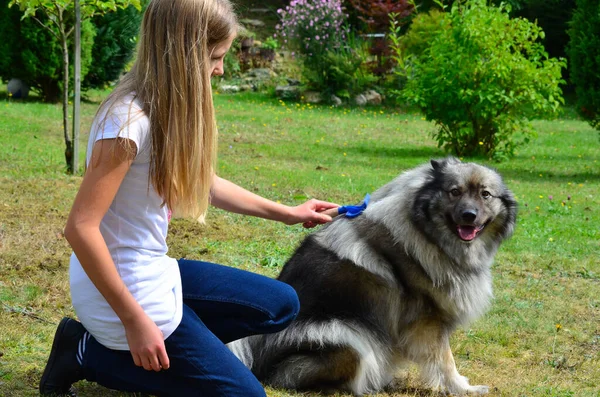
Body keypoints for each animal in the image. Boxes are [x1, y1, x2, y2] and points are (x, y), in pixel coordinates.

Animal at [229, 156, 516, 394]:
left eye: (485, 195)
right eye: (454, 192)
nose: (469, 215)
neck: (427, 233)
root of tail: (256, 354)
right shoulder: (428, 322)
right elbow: (446, 362)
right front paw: (463, 389)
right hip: (349, 337)